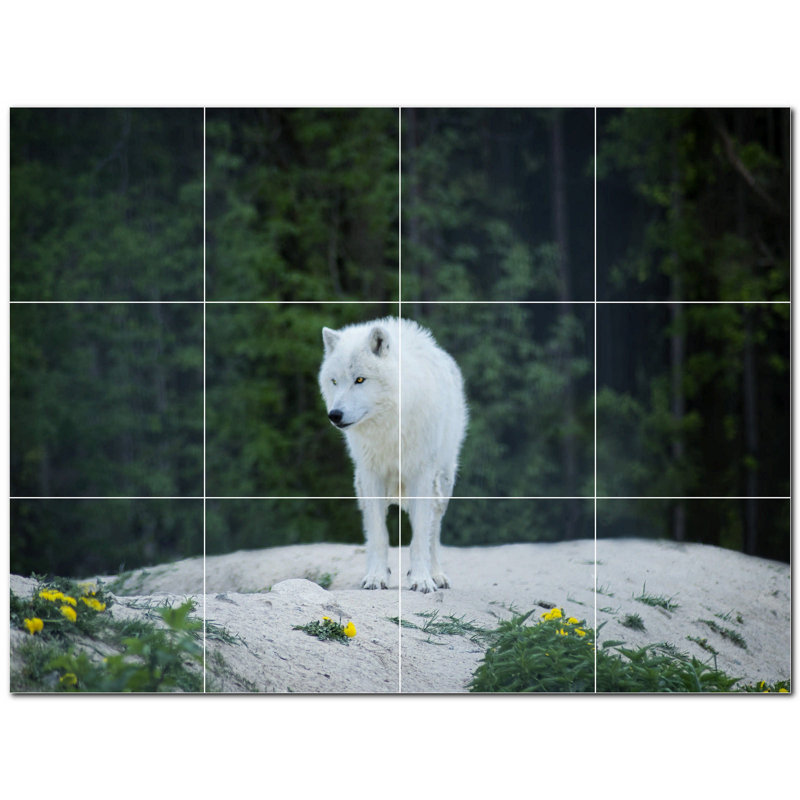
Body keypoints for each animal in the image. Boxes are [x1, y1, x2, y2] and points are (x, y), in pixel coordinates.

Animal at [319, 317, 468, 592]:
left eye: (360, 380)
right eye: (334, 381)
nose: (334, 415)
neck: (388, 426)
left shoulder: (421, 474)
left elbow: (420, 536)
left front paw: (421, 579)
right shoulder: (371, 475)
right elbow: (379, 535)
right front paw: (376, 577)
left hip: (442, 483)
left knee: (434, 532)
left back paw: (437, 575)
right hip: (361, 486)